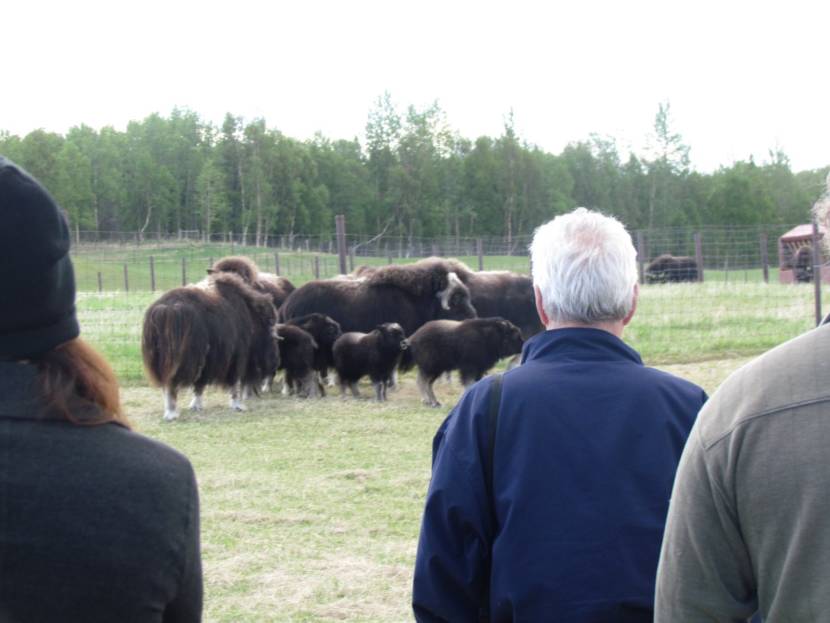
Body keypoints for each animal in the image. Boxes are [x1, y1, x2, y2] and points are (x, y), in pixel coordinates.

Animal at [145, 272, 282, 422]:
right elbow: (232, 381)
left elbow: (200, 384)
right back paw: (172, 413)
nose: (275, 362)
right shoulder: (235, 357)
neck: (251, 318)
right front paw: (237, 405)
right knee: (172, 383)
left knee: (167, 384)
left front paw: (195, 405)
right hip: (183, 362)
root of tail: (166, 310)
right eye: (271, 334)